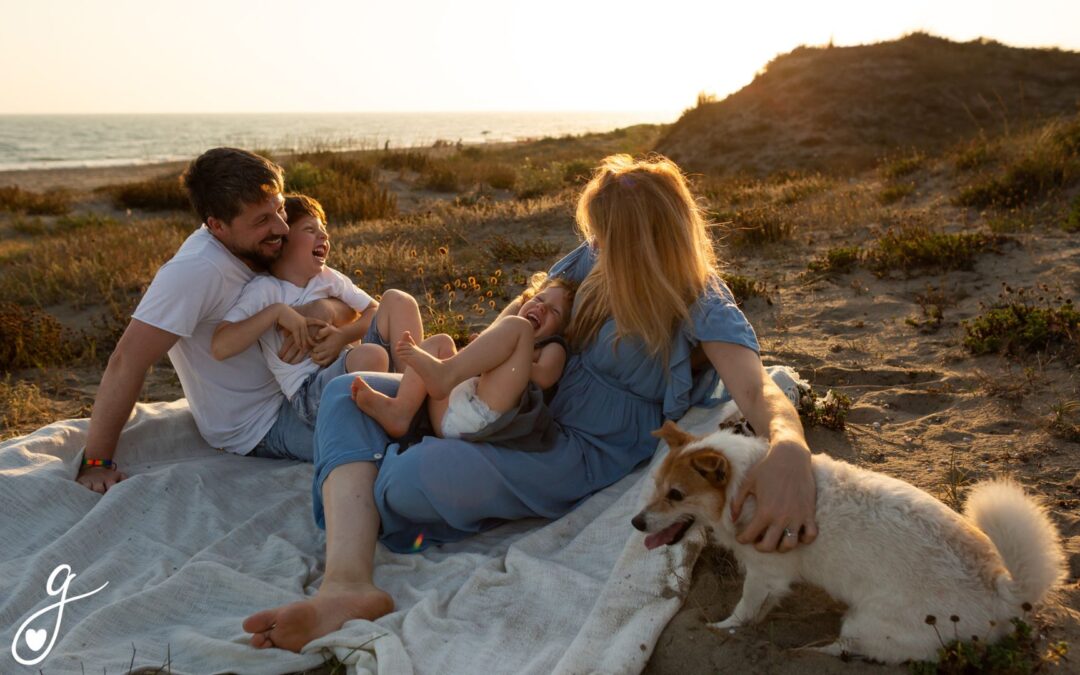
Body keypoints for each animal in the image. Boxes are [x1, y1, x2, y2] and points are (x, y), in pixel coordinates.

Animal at [630, 421, 1062, 665]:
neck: (747, 484)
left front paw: (724, 628)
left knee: (850, 648)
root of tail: (1004, 593)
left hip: (869, 625)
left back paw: (808, 651)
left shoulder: (765, 574)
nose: (636, 523)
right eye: (657, 486)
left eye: (676, 495)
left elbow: (743, 611)